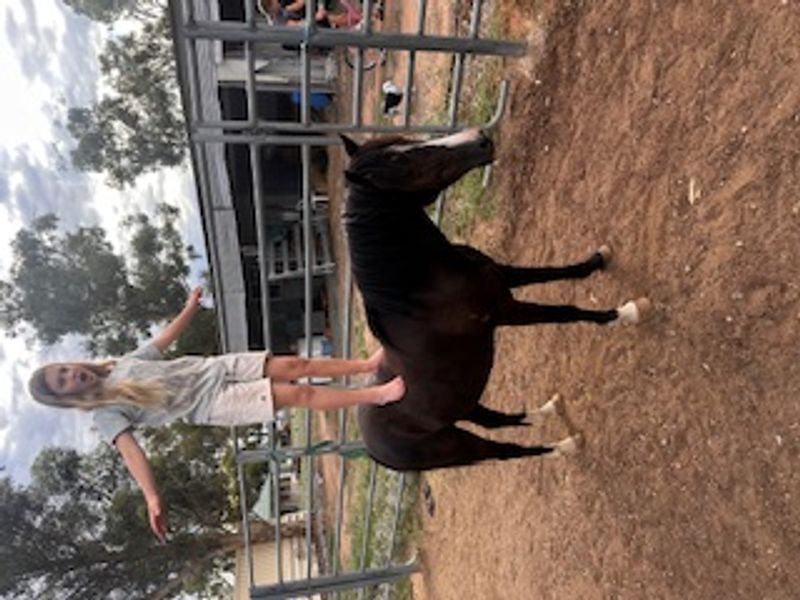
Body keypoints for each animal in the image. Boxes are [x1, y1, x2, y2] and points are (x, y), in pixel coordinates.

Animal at [341, 129, 648, 471]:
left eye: (406, 141)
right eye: (402, 160)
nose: (480, 139)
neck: (419, 293)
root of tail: (372, 450)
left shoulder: (503, 276)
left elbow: (557, 272)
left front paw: (599, 259)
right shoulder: (505, 311)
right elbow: (567, 311)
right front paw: (626, 312)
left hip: (465, 406)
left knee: (500, 421)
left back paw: (549, 408)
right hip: (460, 444)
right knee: (507, 450)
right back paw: (565, 445)